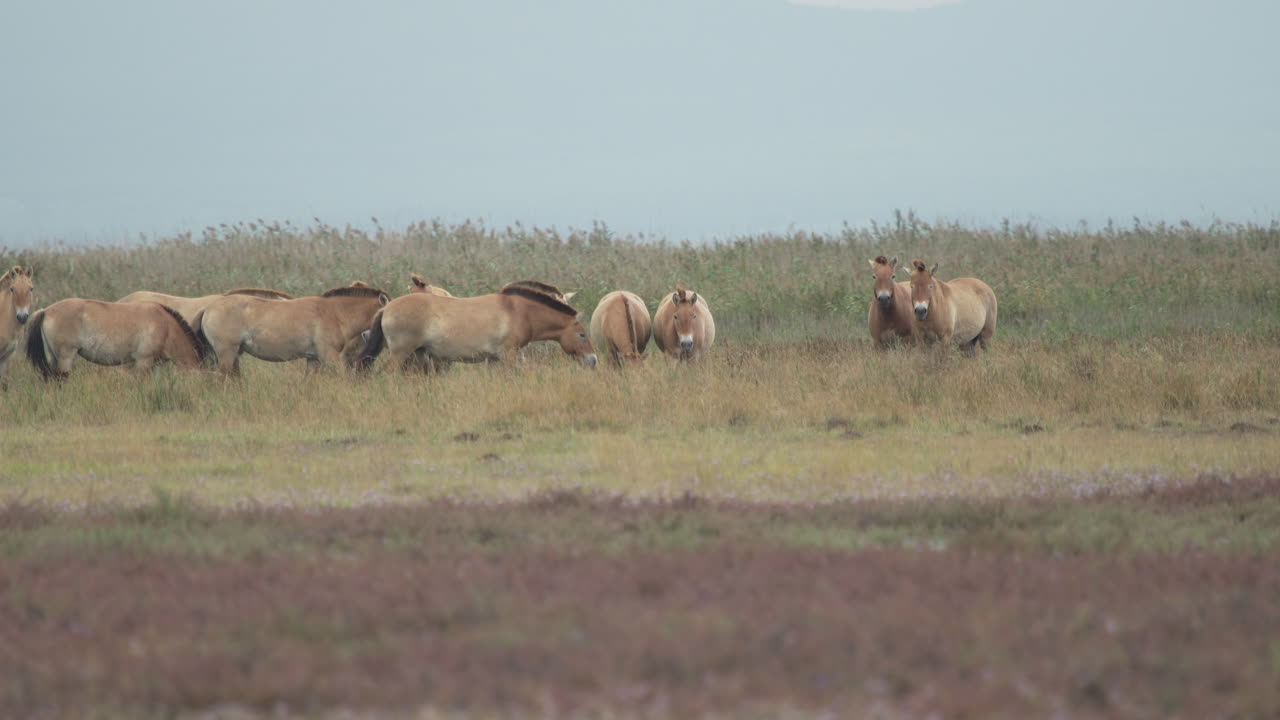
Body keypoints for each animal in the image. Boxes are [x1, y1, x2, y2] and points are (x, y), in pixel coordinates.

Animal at [24, 299, 208, 381]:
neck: (165, 326)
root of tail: (45, 311)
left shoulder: (152, 364)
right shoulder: (143, 361)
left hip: (53, 358)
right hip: (65, 358)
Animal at [357, 284, 597, 372]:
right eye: (582, 335)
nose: (593, 360)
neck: (518, 311)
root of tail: (386, 308)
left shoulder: (494, 359)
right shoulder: (508, 355)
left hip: (417, 354)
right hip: (400, 354)